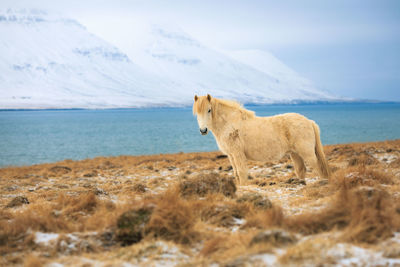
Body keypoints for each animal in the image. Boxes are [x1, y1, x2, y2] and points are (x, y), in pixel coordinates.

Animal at [192, 94, 330, 186]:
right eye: (197, 113)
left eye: (209, 110)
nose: (203, 130)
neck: (229, 124)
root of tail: (309, 121)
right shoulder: (231, 156)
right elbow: (236, 173)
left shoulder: (238, 154)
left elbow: (241, 173)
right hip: (295, 154)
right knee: (301, 170)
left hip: (307, 153)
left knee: (318, 167)